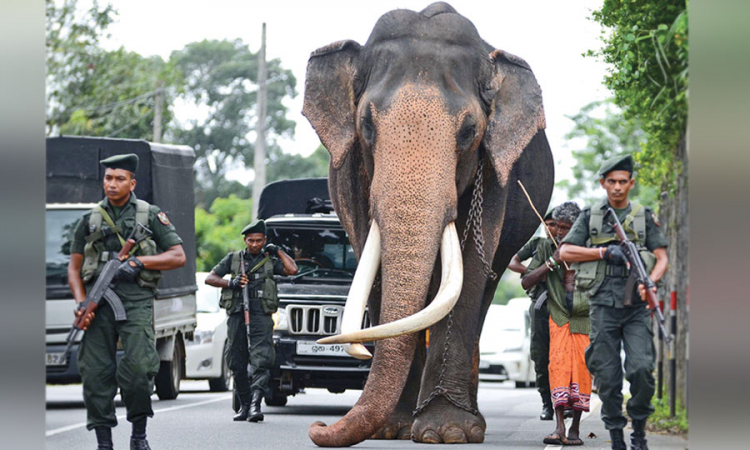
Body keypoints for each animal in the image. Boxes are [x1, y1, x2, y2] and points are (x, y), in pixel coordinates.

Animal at [302, 2, 556, 446]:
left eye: (470, 131)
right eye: (366, 125)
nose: (318, 428)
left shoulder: (496, 172)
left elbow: (471, 268)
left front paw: (447, 432)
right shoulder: (352, 174)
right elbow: (375, 269)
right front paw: (392, 429)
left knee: (482, 293)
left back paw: (470, 422)